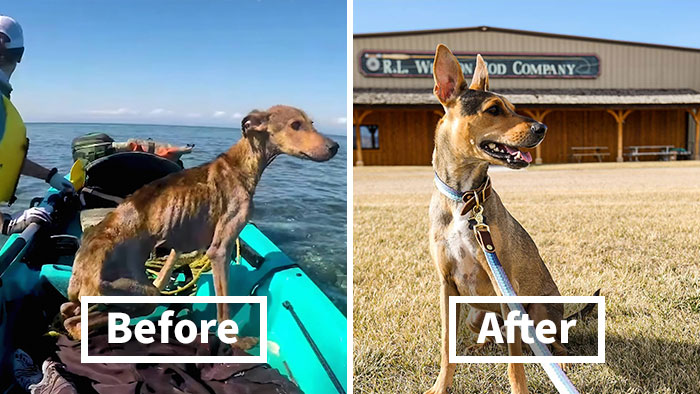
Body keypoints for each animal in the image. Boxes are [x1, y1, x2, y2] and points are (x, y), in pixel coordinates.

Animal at [60, 104, 340, 338]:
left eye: (311, 123)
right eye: (295, 125)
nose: (335, 146)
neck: (240, 165)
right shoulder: (220, 250)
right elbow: (224, 308)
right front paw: (235, 342)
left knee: (69, 314)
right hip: (141, 294)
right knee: (77, 322)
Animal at [424, 46, 568, 394]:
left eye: (513, 108)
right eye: (493, 110)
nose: (542, 129)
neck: (464, 199)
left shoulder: (507, 291)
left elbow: (515, 364)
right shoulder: (446, 286)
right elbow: (447, 348)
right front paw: (441, 385)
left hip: (539, 311)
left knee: (552, 343)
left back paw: (561, 360)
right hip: (475, 314)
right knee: (494, 336)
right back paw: (481, 345)